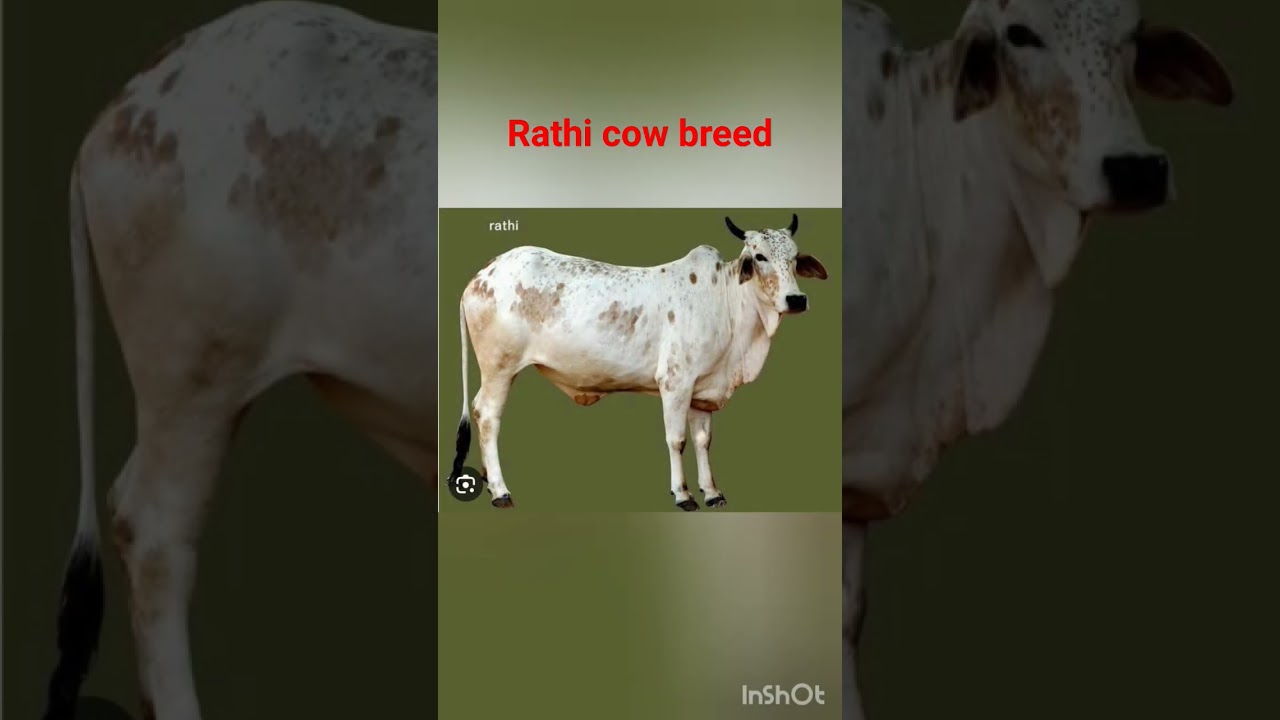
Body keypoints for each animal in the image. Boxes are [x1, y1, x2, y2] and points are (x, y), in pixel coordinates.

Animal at [447, 214, 829, 510]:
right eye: (760, 256)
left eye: (795, 257)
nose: (795, 299)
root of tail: (483, 273)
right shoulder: (675, 382)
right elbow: (677, 439)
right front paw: (683, 495)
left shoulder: (702, 389)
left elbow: (702, 440)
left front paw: (712, 492)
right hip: (499, 368)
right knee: (487, 415)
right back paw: (499, 490)